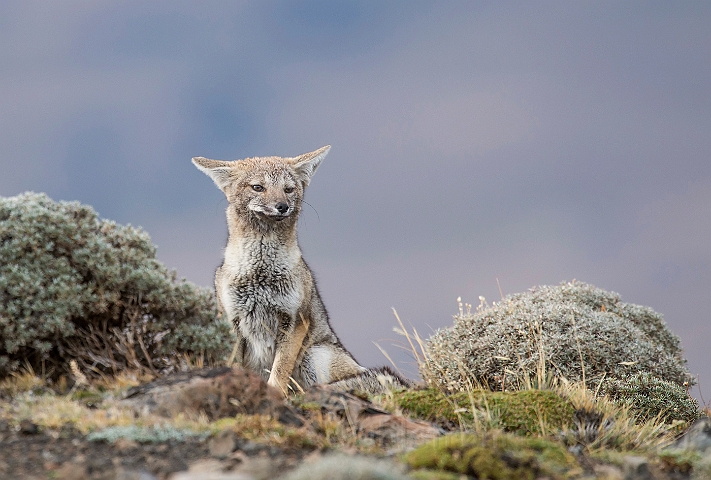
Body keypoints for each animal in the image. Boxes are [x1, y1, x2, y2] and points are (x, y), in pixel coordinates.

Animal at [192, 145, 408, 394]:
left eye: (288, 189)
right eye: (258, 187)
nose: (282, 206)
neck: (260, 274)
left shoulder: (295, 320)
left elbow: (279, 372)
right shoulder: (232, 320)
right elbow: (233, 365)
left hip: (313, 356)